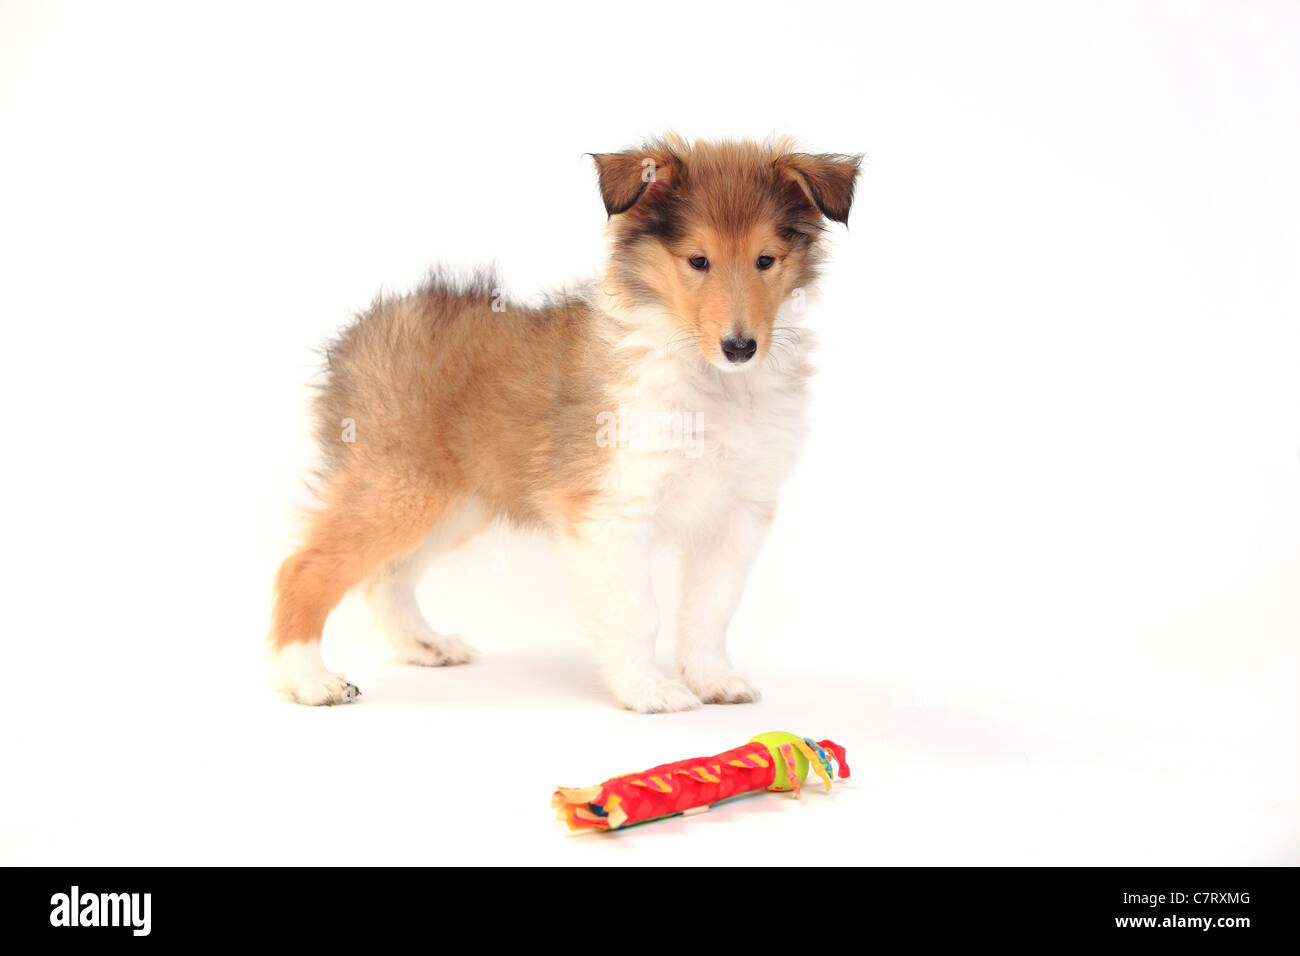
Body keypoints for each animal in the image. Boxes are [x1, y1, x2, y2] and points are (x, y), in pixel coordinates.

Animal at [269, 134, 857, 712]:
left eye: (766, 260)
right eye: (698, 261)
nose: (740, 347)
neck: (709, 381)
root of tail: (360, 333)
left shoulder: (737, 513)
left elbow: (709, 611)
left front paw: (712, 678)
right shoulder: (613, 510)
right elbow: (638, 614)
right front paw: (649, 691)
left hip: (457, 504)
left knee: (386, 579)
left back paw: (425, 646)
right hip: (400, 489)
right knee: (303, 569)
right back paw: (310, 680)